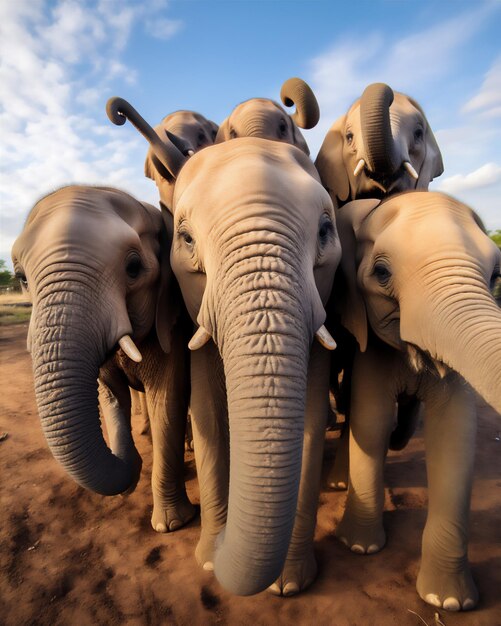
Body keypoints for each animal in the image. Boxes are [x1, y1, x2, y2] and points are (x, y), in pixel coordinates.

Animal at [11, 184, 195, 532]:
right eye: (21, 279)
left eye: (133, 268)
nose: (131, 472)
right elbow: (110, 395)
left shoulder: (171, 325)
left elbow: (166, 400)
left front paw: (171, 524)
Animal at [106, 97, 340, 596]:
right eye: (186, 238)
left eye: (326, 230)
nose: (115, 112)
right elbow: (208, 415)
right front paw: (210, 560)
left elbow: (309, 423)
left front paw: (288, 585)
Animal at [330, 189, 498, 608]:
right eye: (382, 273)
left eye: (496, 277)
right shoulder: (370, 342)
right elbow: (371, 421)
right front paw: (360, 549)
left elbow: (455, 433)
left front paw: (448, 601)